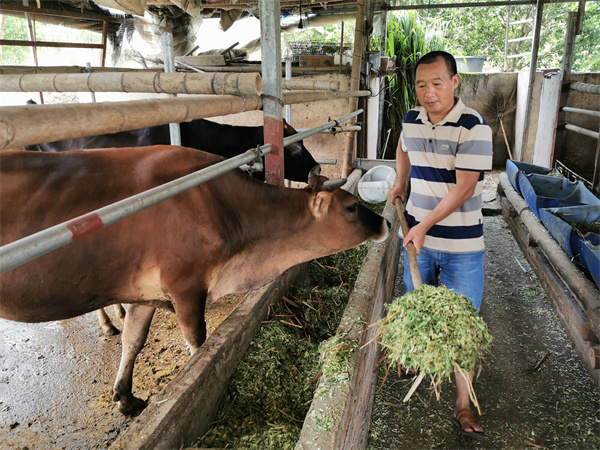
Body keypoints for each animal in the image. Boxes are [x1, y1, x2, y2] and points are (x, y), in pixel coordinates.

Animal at [1, 147, 390, 414]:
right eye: (352, 207)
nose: (386, 223)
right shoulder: (185, 285)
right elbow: (197, 345)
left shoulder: (143, 294)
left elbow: (133, 340)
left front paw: (125, 398)